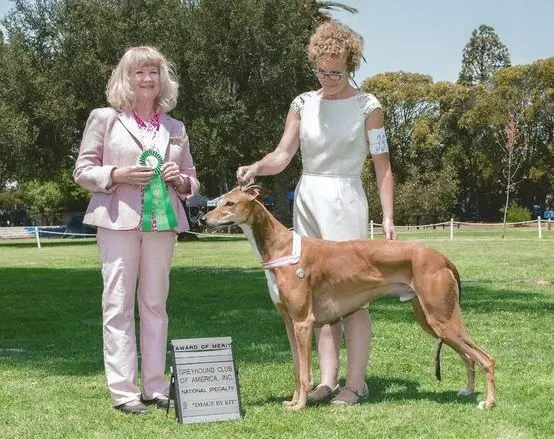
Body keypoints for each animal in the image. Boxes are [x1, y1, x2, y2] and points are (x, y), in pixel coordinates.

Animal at [204, 186, 496, 412]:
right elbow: (297, 370)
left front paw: (300, 406)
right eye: (220, 201)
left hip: (442, 318)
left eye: (230, 203)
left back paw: (489, 402)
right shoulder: (289, 322)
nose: (204, 219)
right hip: (432, 319)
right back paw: (468, 391)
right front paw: (293, 402)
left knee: (486, 358)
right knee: (469, 357)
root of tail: (441, 257)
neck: (281, 247)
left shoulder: (303, 322)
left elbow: (305, 373)